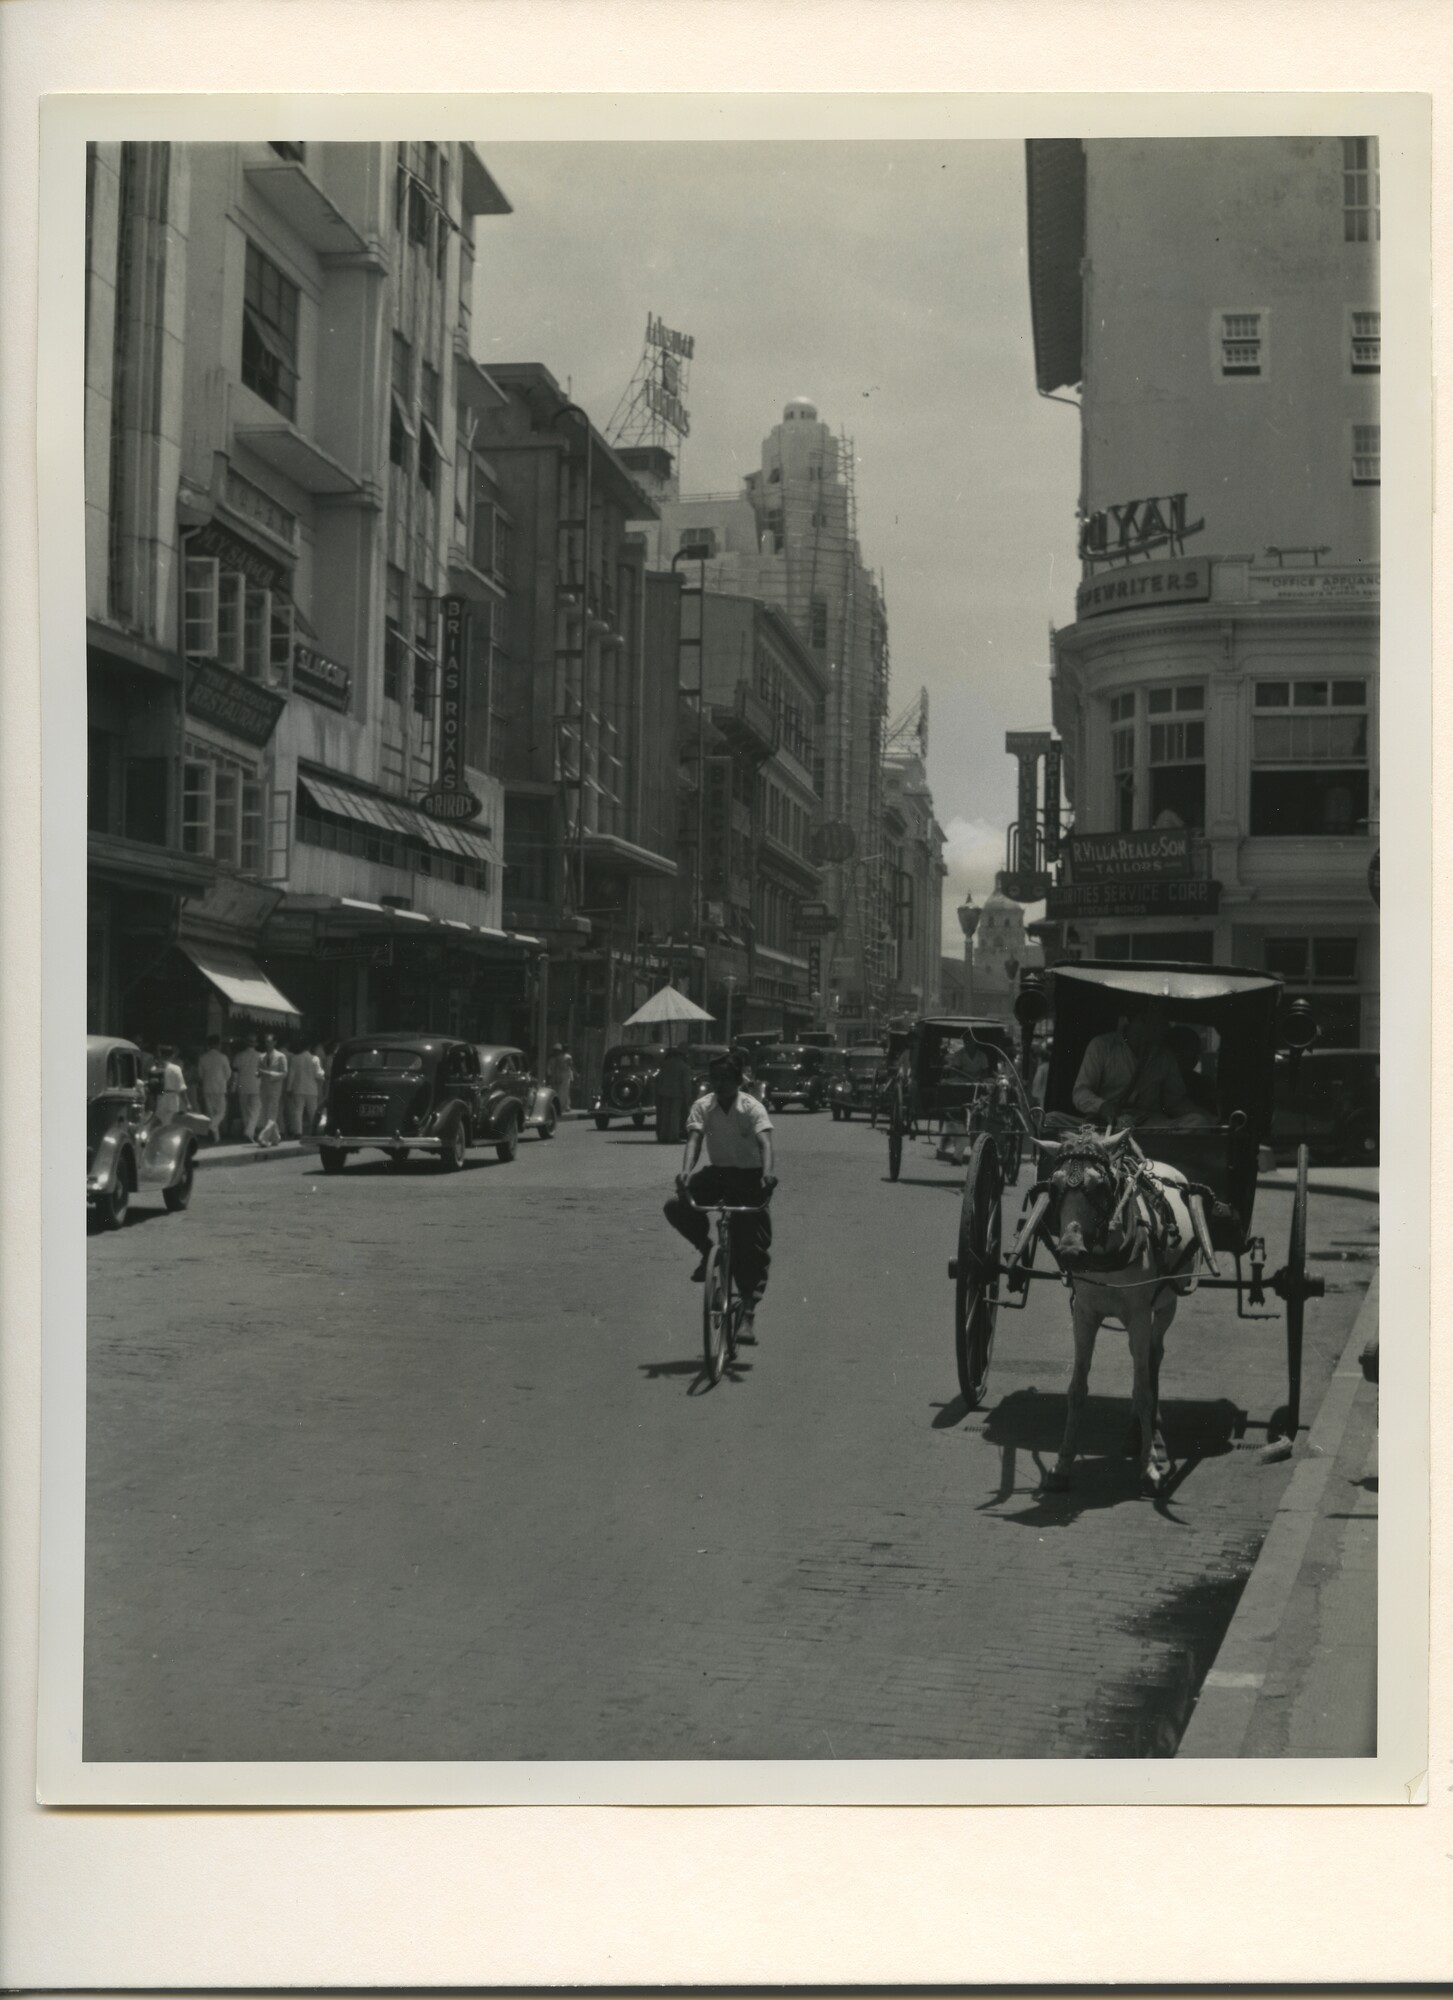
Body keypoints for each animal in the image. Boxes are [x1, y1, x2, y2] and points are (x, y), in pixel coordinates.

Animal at [1032, 1136, 1208, 1496]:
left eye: (1100, 1186)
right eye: (1054, 1185)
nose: (1070, 1251)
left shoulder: (1140, 1315)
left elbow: (1143, 1391)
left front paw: (1150, 1468)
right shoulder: (1084, 1314)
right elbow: (1077, 1389)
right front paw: (1062, 1466)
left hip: (1165, 1305)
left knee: (1153, 1358)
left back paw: (1152, 1436)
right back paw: (1135, 1433)